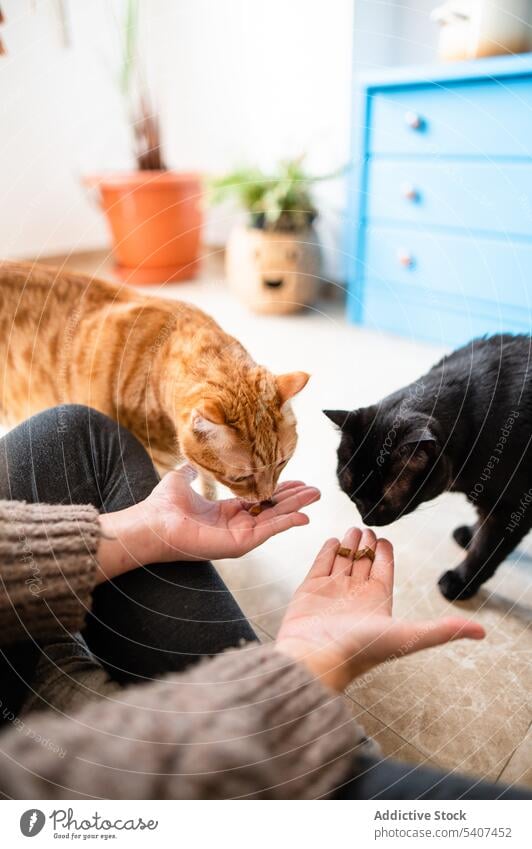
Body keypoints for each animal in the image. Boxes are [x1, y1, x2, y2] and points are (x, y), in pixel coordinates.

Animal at [324, 334, 532, 600]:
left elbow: (485, 551)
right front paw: (470, 534)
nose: (367, 519)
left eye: (385, 502)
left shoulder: (513, 507)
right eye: (352, 495)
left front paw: (459, 582)